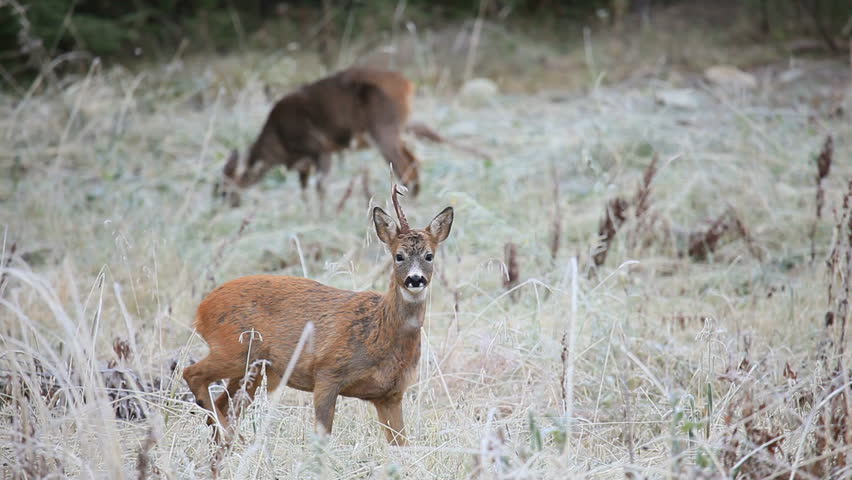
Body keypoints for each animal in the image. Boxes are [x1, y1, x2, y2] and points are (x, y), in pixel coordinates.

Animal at [183, 185, 454, 445]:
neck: (378, 331)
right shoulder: (327, 372)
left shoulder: (391, 394)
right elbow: (322, 438)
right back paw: (236, 439)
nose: (415, 279)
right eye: (399, 256)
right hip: (237, 349)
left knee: (221, 405)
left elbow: (401, 444)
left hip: (251, 369)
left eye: (429, 256)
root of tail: (202, 308)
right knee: (192, 374)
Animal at [218, 66, 490, 207]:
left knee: (405, 164)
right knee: (417, 153)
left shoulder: (319, 148)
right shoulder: (306, 162)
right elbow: (305, 189)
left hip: (383, 127)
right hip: (401, 125)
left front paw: (323, 215)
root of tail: (408, 85)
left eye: (222, 191)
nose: (224, 206)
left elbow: (320, 187)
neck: (279, 145)